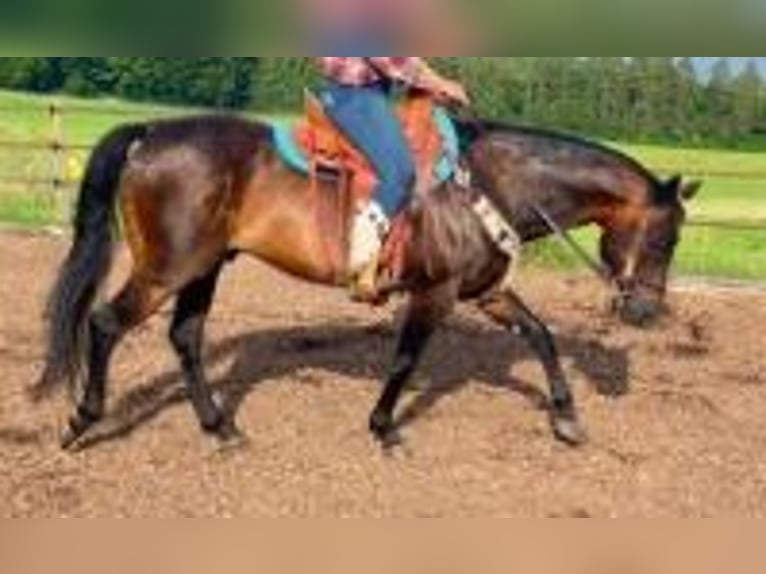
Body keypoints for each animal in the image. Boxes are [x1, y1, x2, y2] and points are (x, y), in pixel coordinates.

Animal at [36, 110, 699, 451]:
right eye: (666, 238)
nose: (645, 312)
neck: (493, 182)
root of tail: (149, 132)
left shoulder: (487, 292)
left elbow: (541, 336)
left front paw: (565, 419)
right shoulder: (435, 292)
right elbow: (406, 358)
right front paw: (383, 429)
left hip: (205, 267)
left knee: (186, 338)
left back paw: (221, 428)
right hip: (168, 268)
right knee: (105, 323)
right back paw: (81, 422)